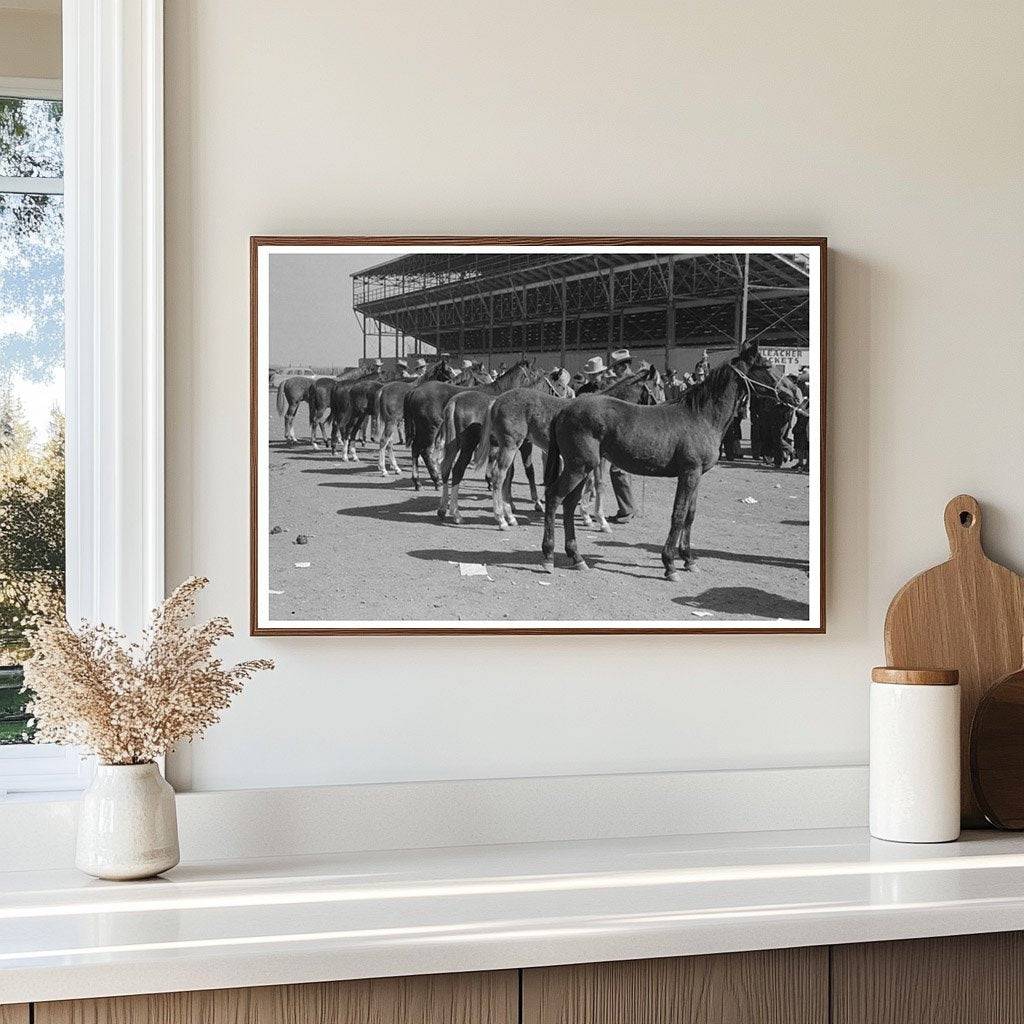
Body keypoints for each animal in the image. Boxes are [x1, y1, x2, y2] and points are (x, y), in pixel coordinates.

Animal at [544, 342, 774, 581]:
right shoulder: (689, 473)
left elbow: (690, 515)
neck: (701, 417)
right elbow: (678, 515)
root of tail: (564, 409)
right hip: (578, 467)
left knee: (569, 504)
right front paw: (670, 564)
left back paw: (576, 557)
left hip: (581, 468)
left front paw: (689, 560)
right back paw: (549, 556)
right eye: (766, 365)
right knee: (553, 497)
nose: (782, 391)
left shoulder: (697, 475)